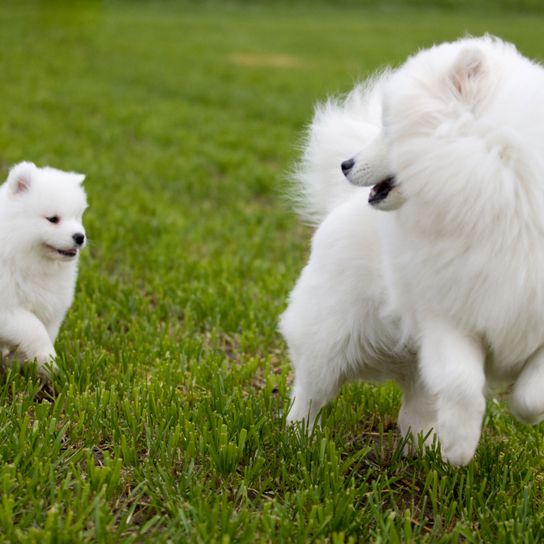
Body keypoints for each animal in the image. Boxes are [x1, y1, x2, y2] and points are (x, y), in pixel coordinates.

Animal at [0, 162, 86, 378]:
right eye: (53, 219)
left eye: (77, 217)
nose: (80, 236)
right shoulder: (7, 309)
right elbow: (34, 328)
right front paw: (49, 361)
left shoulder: (51, 307)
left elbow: (45, 331)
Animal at [278, 36, 544, 466]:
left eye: (389, 129)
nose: (345, 164)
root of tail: (339, 205)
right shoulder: (446, 314)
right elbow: (462, 383)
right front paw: (460, 446)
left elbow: (534, 387)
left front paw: (520, 411)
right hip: (330, 340)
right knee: (310, 394)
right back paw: (299, 440)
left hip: (412, 363)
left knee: (414, 409)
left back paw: (424, 447)